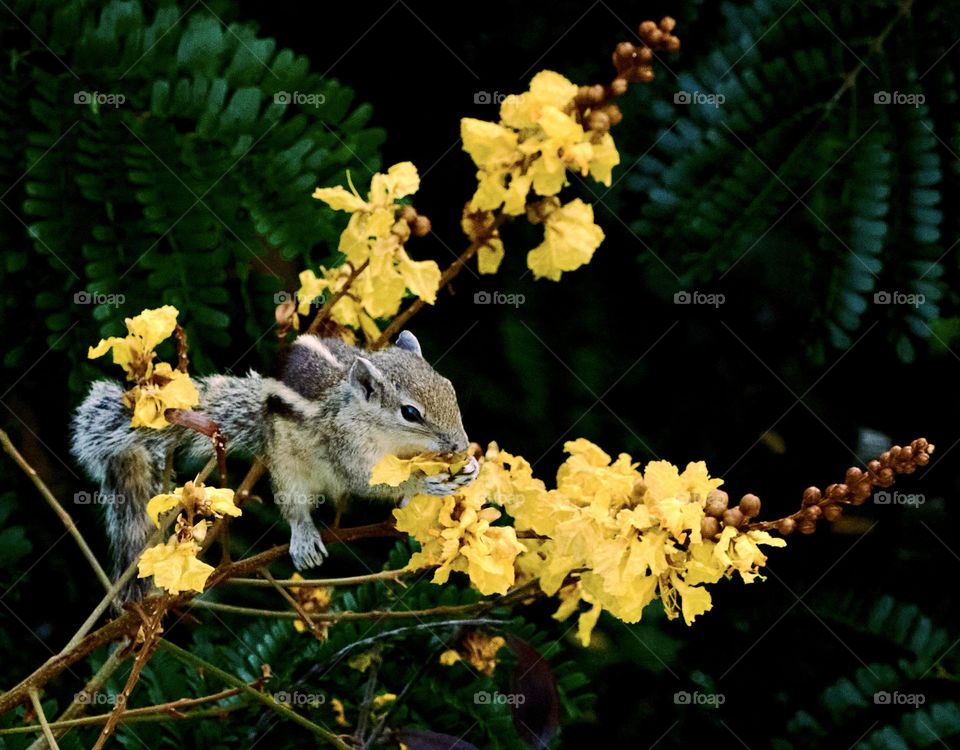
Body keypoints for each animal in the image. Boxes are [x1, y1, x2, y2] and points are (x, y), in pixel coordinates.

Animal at [70, 330, 478, 600]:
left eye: (450, 388)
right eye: (410, 413)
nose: (459, 444)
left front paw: (468, 466)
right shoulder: (348, 449)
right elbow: (368, 483)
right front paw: (425, 483)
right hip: (286, 469)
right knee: (295, 507)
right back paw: (304, 536)